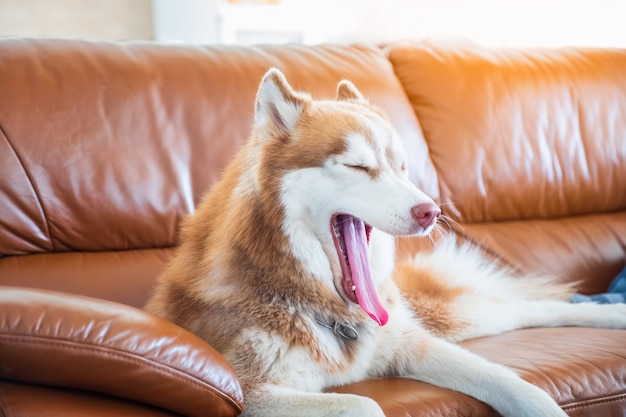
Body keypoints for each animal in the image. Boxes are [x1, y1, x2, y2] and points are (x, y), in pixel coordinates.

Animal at [145, 68, 624, 416]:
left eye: (401, 167)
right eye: (357, 166)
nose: (430, 211)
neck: (323, 302)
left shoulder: (407, 342)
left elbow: (509, 380)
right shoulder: (249, 391)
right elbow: (364, 404)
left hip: (444, 318)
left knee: (531, 309)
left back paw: (611, 314)